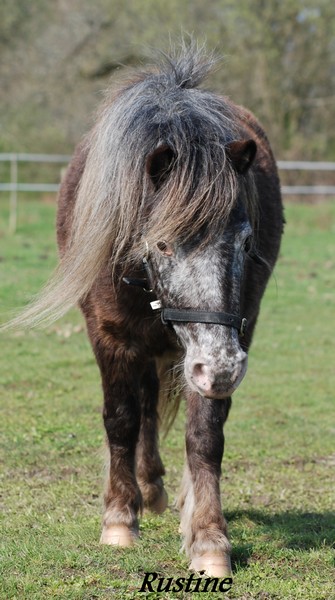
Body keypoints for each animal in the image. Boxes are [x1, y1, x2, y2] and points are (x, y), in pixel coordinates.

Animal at [5, 44, 284, 580]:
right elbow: (121, 419)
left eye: (245, 241)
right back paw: (147, 491)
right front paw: (119, 520)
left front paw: (208, 538)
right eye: (162, 243)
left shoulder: (228, 339)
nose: (221, 369)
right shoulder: (110, 335)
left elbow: (204, 436)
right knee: (146, 406)